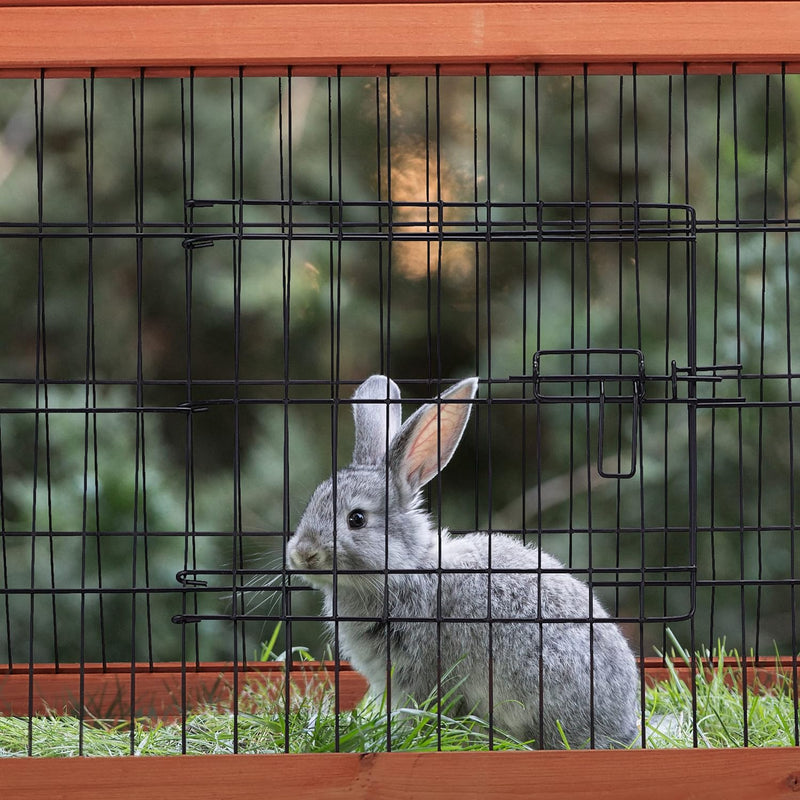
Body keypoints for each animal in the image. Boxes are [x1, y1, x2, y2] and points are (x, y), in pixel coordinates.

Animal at [288, 376, 636, 752]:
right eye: (312, 502)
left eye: (356, 519)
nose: (301, 553)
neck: (405, 568)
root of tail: (623, 728)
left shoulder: (420, 672)